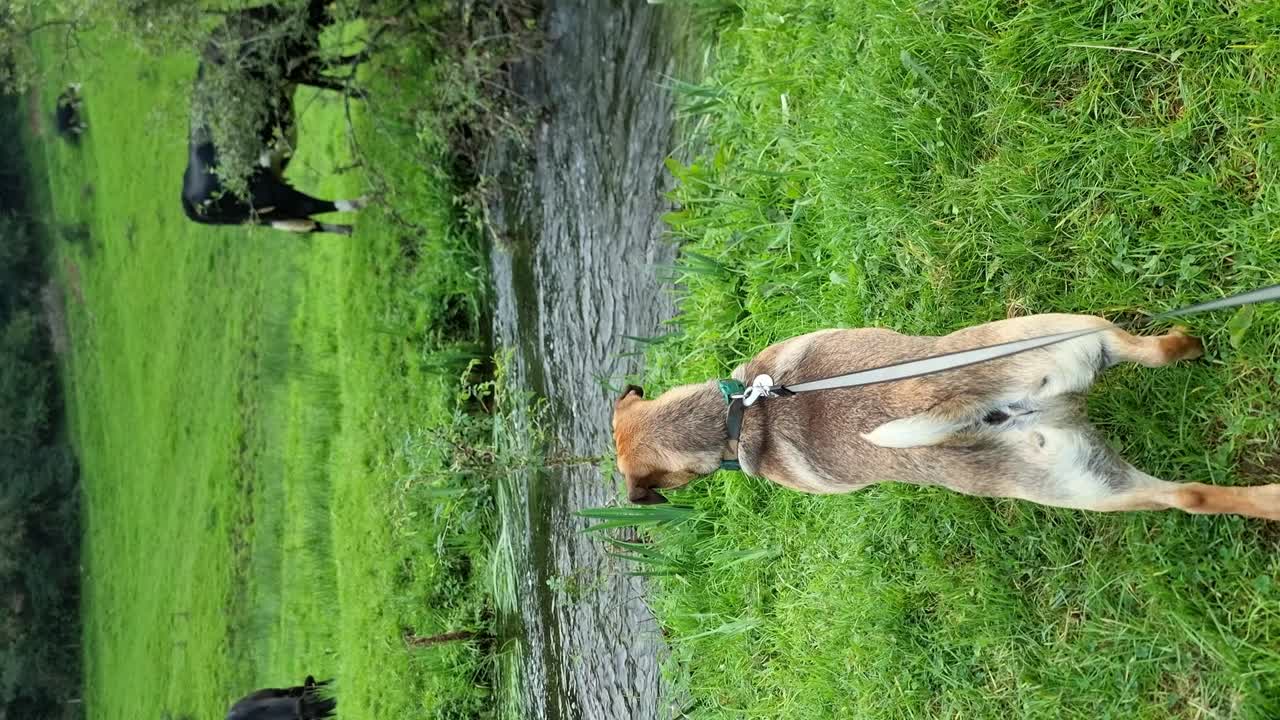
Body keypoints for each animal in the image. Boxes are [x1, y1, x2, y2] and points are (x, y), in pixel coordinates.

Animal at [182, 0, 367, 235]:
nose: (358, 10)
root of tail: (187, 198)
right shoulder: (297, 67)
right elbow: (337, 75)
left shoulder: (304, 60)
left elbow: (339, 68)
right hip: (268, 193)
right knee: (310, 206)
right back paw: (366, 200)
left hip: (267, 215)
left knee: (309, 224)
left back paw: (350, 229)